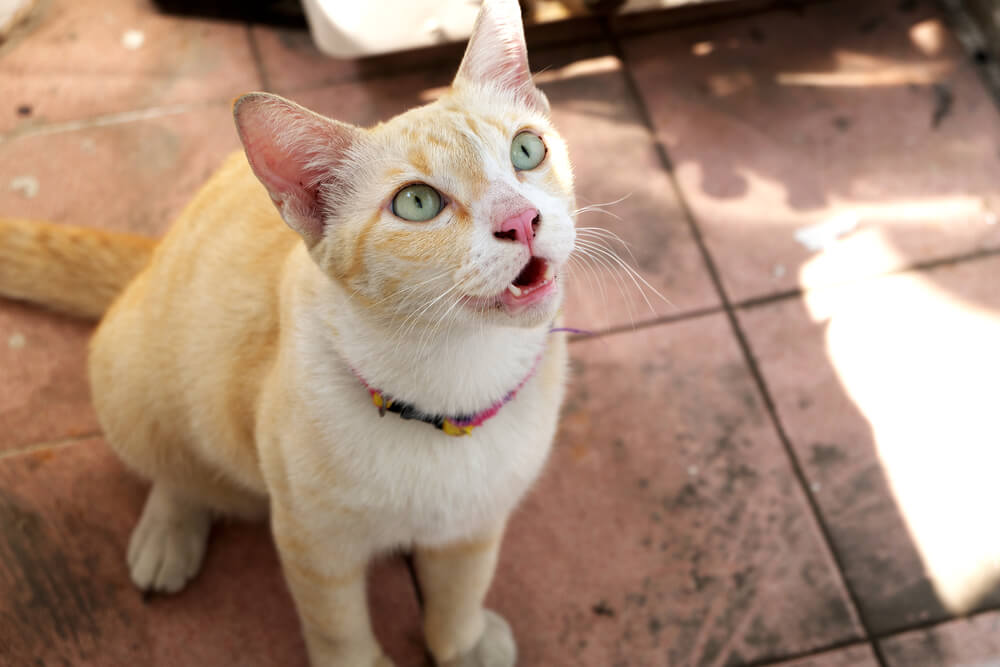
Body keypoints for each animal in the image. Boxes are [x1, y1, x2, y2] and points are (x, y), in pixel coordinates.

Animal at [0, 1, 580, 667]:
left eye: (527, 150)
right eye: (416, 203)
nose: (522, 219)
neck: (453, 385)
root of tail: (154, 256)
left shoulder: (477, 519)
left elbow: (462, 585)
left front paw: (461, 643)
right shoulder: (312, 540)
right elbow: (336, 625)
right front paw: (362, 661)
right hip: (137, 381)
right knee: (174, 465)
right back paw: (169, 531)